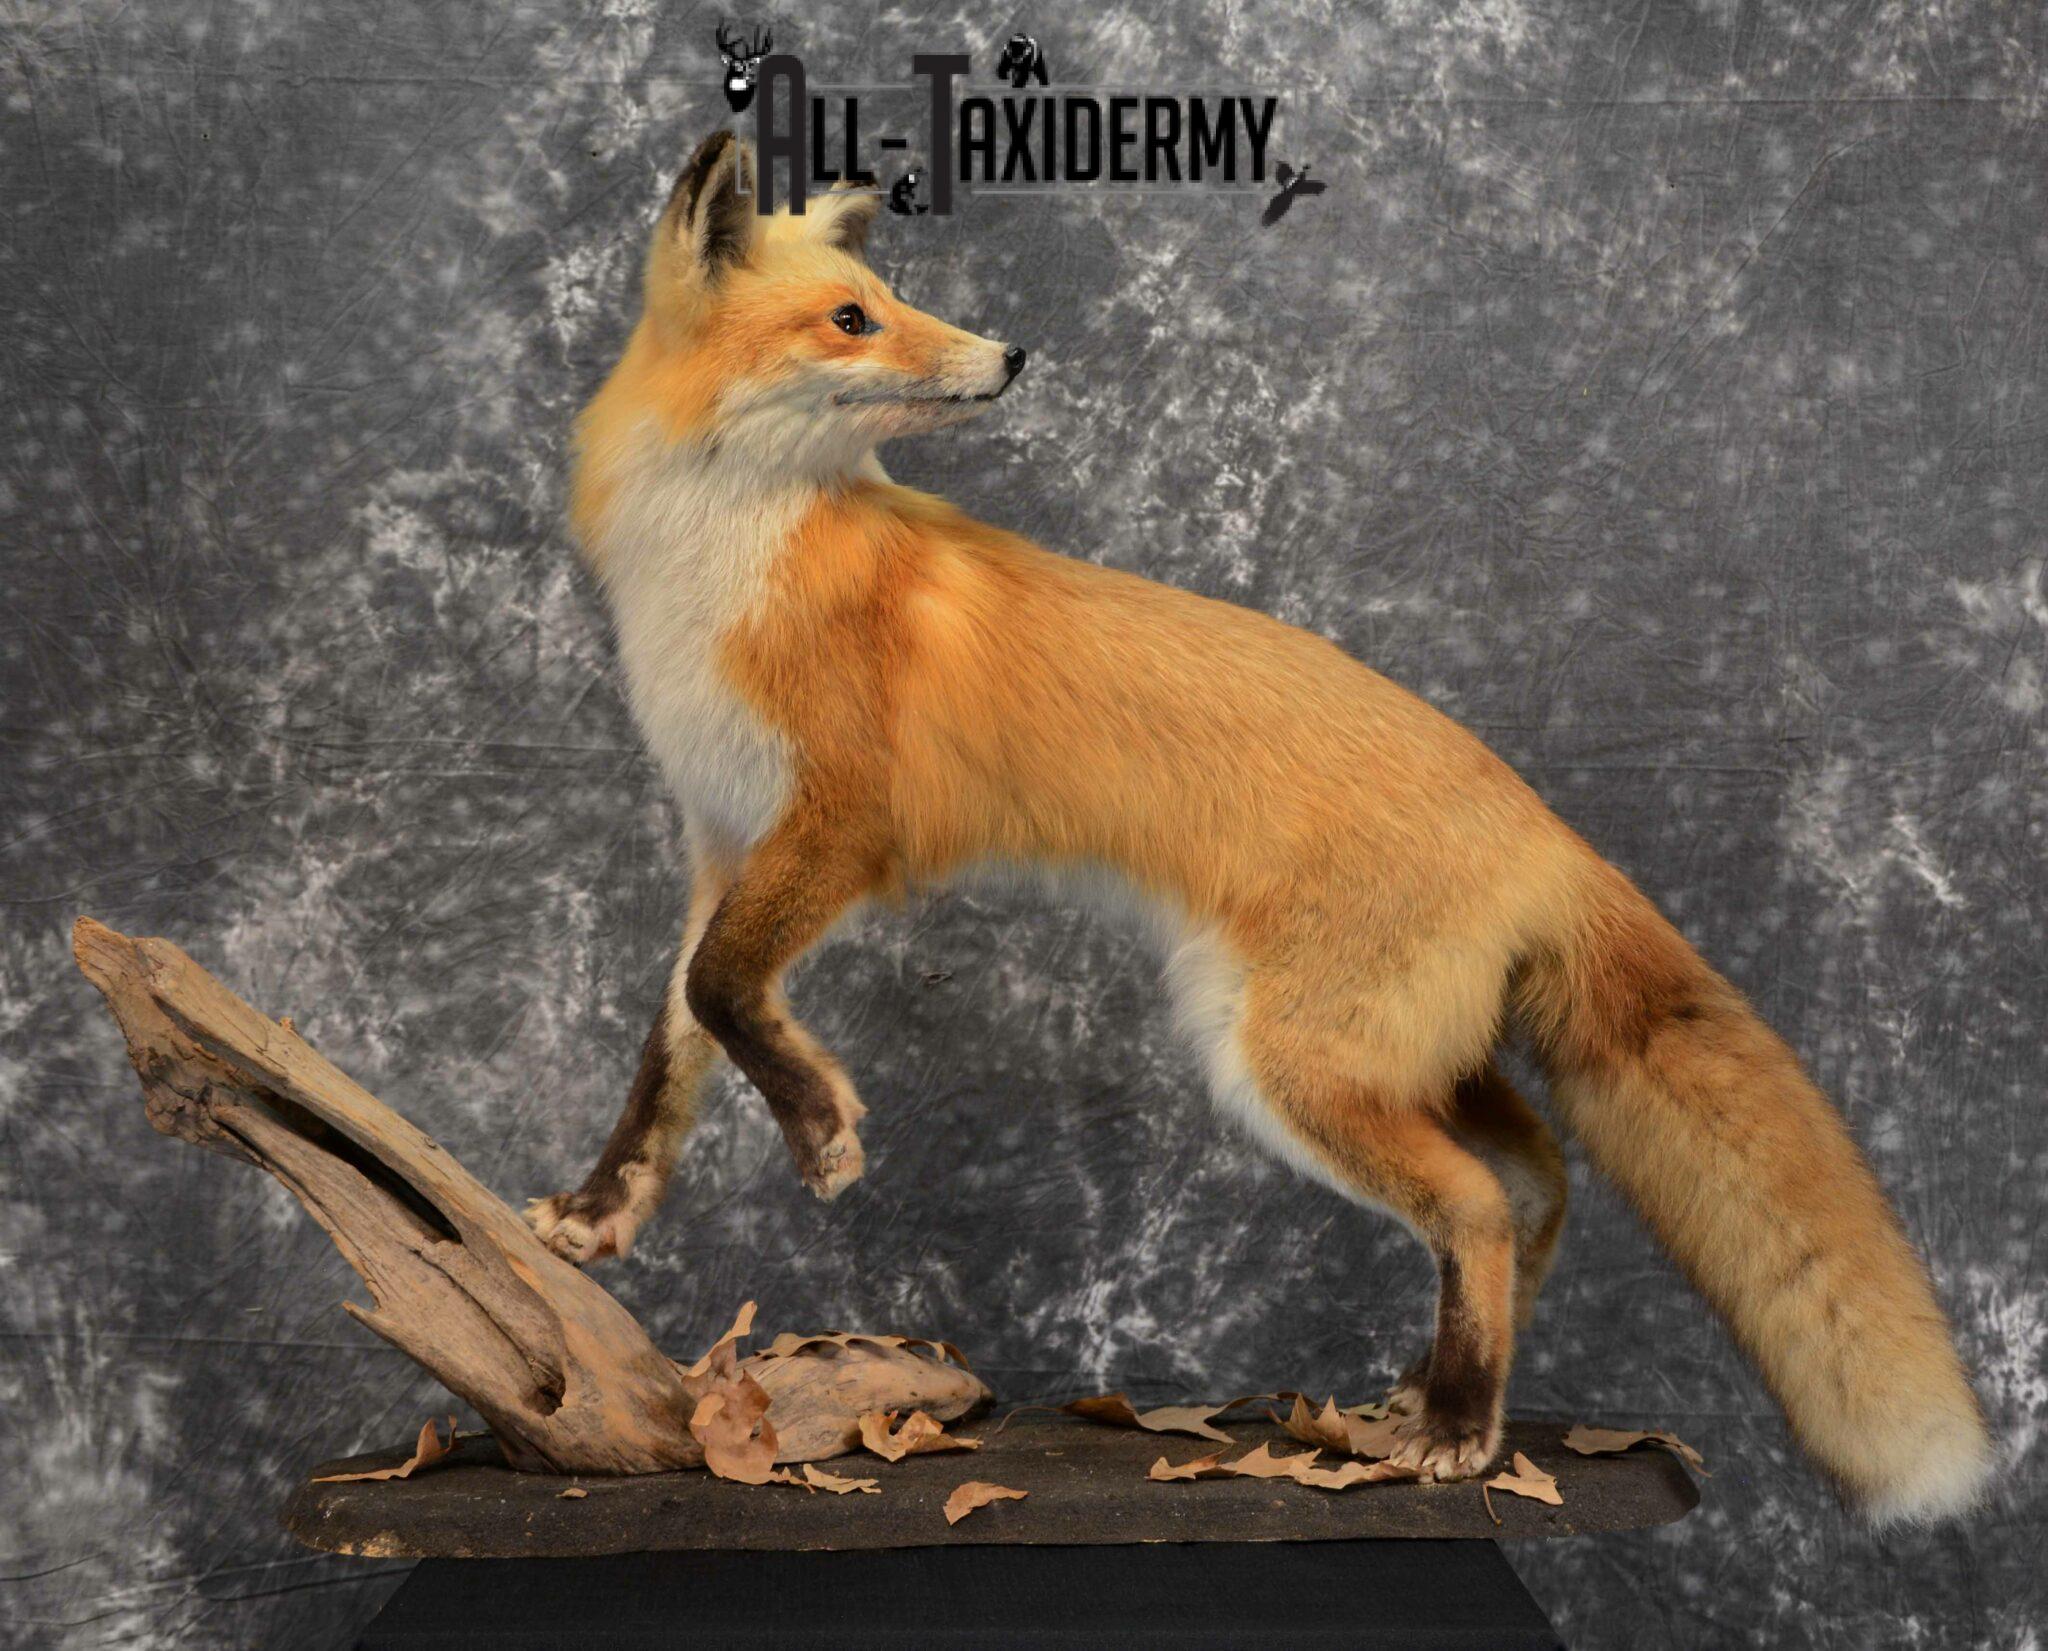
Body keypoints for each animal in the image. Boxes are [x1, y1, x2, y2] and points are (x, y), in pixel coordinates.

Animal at [526, 129, 1993, 1522]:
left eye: (888, 301)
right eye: (851, 317)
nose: (1011, 353)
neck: (721, 559)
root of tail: (1543, 827)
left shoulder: (839, 825)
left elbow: (724, 991)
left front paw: (822, 1130)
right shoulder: (722, 836)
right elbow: (675, 1043)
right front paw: (599, 1213)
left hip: (1289, 1064)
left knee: (1474, 1201)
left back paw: (1460, 1427)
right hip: (1416, 1057)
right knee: (1533, 1183)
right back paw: (1433, 1390)